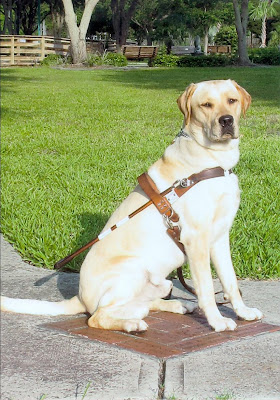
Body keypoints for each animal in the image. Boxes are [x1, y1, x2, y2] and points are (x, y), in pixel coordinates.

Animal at [1, 80, 262, 332]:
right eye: (206, 104)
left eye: (232, 100)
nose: (226, 120)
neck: (213, 161)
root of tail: (80, 298)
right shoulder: (196, 238)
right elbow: (206, 288)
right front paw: (217, 322)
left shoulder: (219, 237)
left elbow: (230, 281)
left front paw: (243, 312)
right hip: (133, 268)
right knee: (97, 317)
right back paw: (131, 325)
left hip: (161, 282)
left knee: (143, 305)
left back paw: (178, 305)